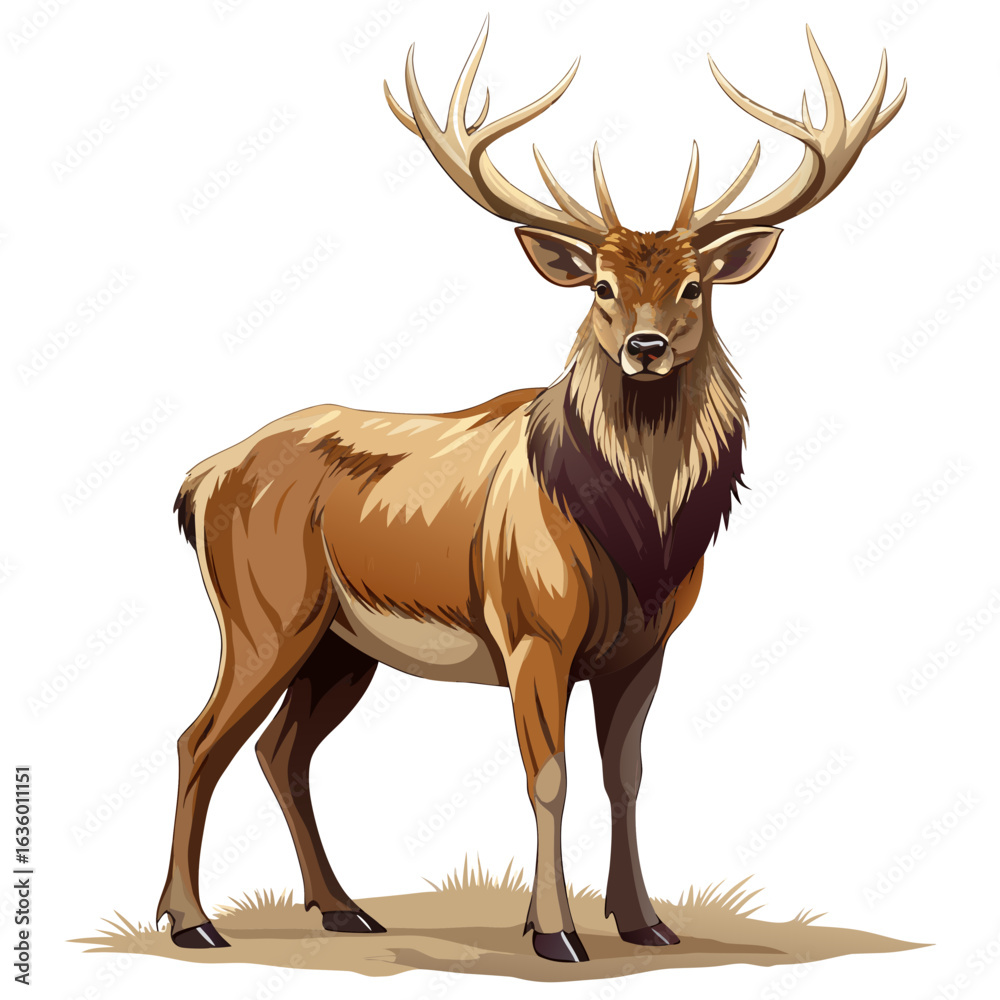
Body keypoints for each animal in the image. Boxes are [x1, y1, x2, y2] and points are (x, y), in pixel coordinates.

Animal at [156, 20, 905, 963]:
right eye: (602, 287)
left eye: (693, 286)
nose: (648, 347)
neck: (641, 542)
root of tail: (199, 479)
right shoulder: (530, 628)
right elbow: (548, 775)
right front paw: (556, 932)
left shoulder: (647, 644)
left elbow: (627, 775)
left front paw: (645, 921)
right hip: (265, 612)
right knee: (198, 740)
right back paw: (193, 920)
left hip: (340, 643)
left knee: (282, 751)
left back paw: (342, 907)